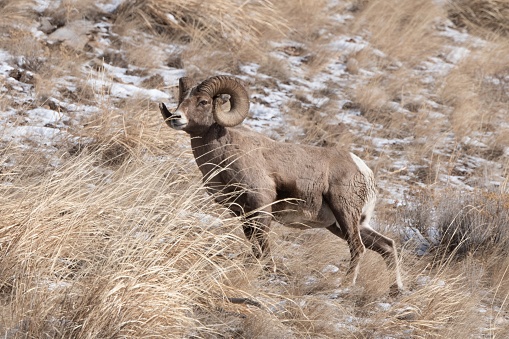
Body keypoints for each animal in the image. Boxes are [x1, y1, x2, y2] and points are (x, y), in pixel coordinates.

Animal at [158, 75, 400, 294]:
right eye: (182, 99)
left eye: (203, 102)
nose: (176, 118)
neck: (225, 153)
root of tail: (363, 170)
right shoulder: (243, 213)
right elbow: (254, 244)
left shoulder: (261, 205)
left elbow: (263, 244)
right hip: (345, 224)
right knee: (386, 246)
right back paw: (395, 290)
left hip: (345, 214)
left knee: (357, 248)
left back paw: (345, 286)